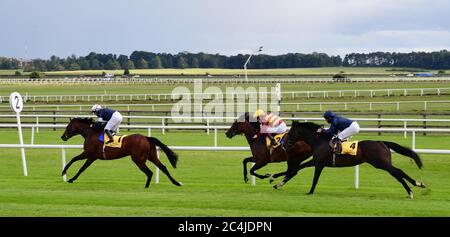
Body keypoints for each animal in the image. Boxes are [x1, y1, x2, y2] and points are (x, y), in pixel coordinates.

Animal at [280, 120, 428, 198]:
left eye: (290, 133)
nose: (283, 144)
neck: (319, 141)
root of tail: (382, 142)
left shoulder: (319, 163)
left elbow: (313, 177)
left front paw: (309, 191)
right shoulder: (316, 162)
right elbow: (299, 167)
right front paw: (280, 180)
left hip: (381, 163)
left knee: (398, 172)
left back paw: (414, 188)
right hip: (383, 164)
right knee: (398, 173)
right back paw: (414, 188)